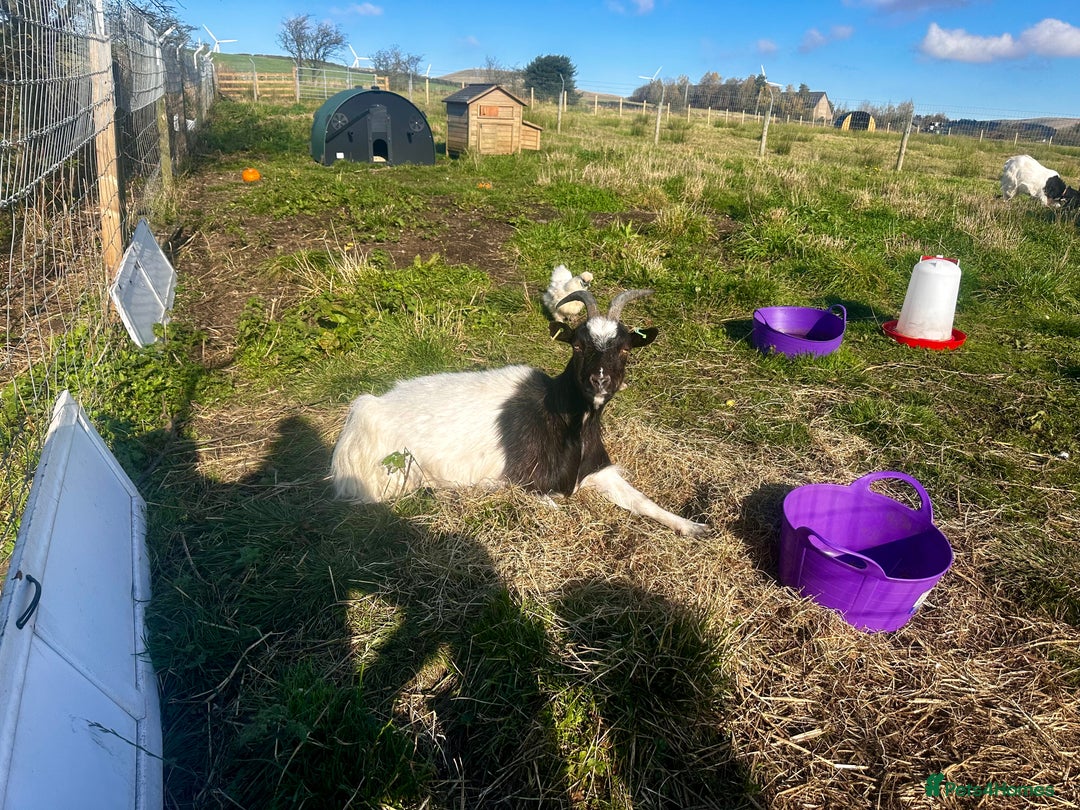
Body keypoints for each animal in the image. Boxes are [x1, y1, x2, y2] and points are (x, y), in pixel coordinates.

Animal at [330, 287, 708, 536]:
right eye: (577, 345)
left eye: (626, 348)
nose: (599, 380)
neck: (564, 421)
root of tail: (366, 407)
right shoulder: (525, 482)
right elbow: (555, 507)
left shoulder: (599, 469)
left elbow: (642, 500)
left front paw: (694, 526)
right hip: (390, 477)